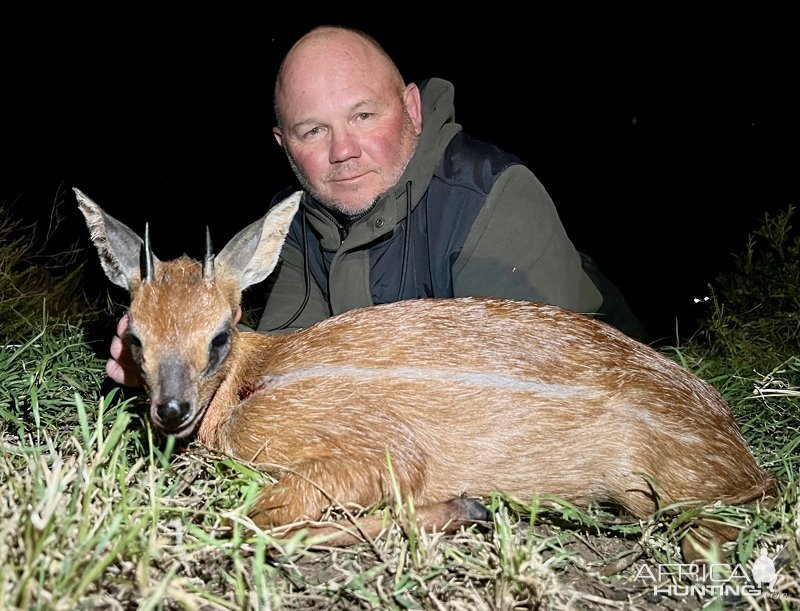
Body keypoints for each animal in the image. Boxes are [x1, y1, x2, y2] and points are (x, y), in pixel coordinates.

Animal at [75, 189, 776, 556]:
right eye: (134, 337)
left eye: (220, 335)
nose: (171, 411)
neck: (252, 378)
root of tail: (737, 445)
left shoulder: (370, 446)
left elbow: (255, 522)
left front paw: (458, 506)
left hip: (669, 487)